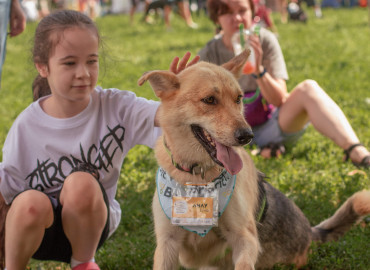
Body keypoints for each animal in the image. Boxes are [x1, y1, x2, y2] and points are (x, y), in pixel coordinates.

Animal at [139, 50, 370, 268]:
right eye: (209, 100)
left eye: (238, 99)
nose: (247, 136)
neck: (198, 178)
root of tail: (309, 232)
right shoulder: (167, 242)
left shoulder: (245, 237)